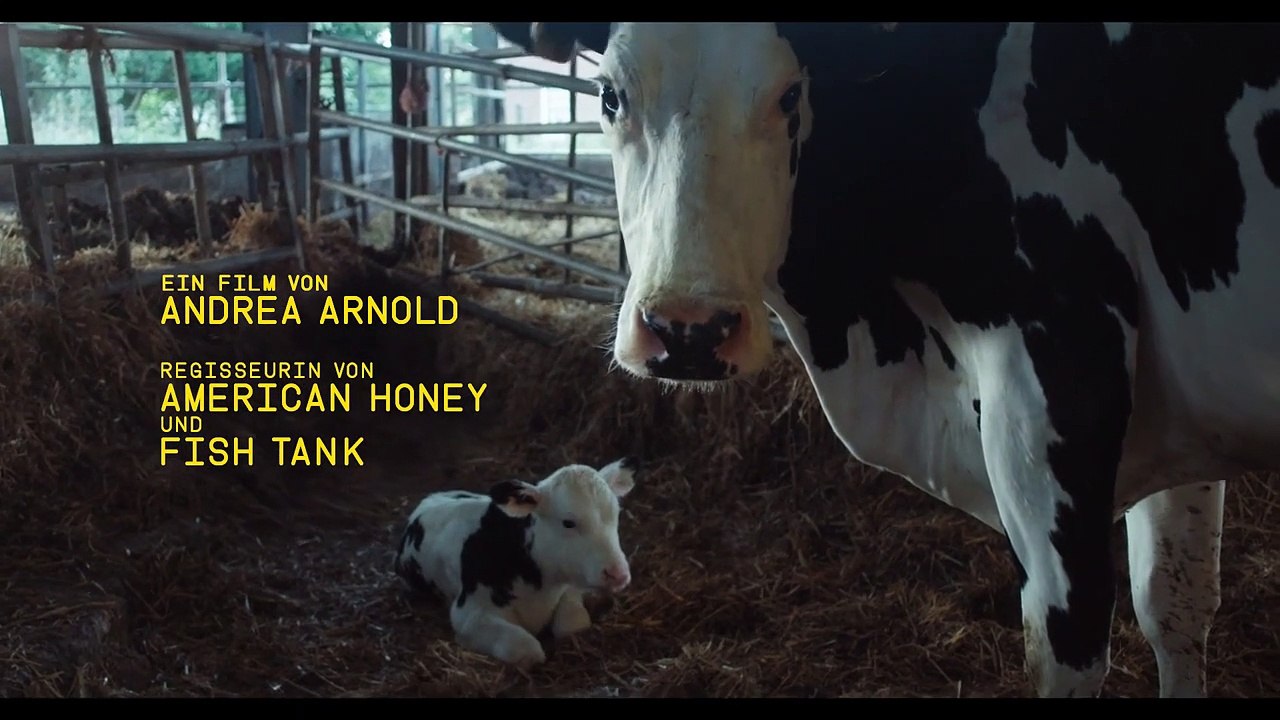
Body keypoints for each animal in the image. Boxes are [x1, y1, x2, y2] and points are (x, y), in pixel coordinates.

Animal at [394, 457, 638, 668]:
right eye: (568, 522)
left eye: (616, 513)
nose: (618, 574)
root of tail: (434, 496)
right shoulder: (468, 614)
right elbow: (527, 650)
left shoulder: (569, 587)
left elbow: (573, 625)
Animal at [492, 22, 1280, 697]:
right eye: (609, 95)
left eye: (790, 95)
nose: (688, 330)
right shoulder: (1173, 412)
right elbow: (1175, 605)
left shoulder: (1058, 366)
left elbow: (1069, 646)